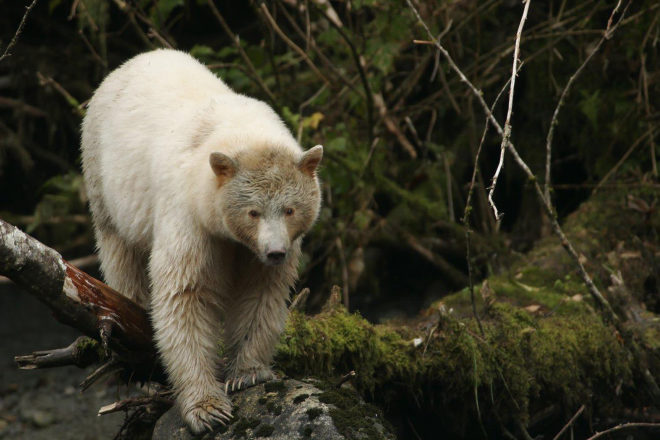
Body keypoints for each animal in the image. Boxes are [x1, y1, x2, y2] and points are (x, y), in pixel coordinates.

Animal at [80, 49, 322, 433]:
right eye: (253, 212)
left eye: (290, 209)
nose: (275, 252)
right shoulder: (190, 218)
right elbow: (186, 295)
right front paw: (207, 408)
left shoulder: (255, 251)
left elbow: (261, 292)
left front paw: (247, 373)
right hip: (103, 179)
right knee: (122, 257)